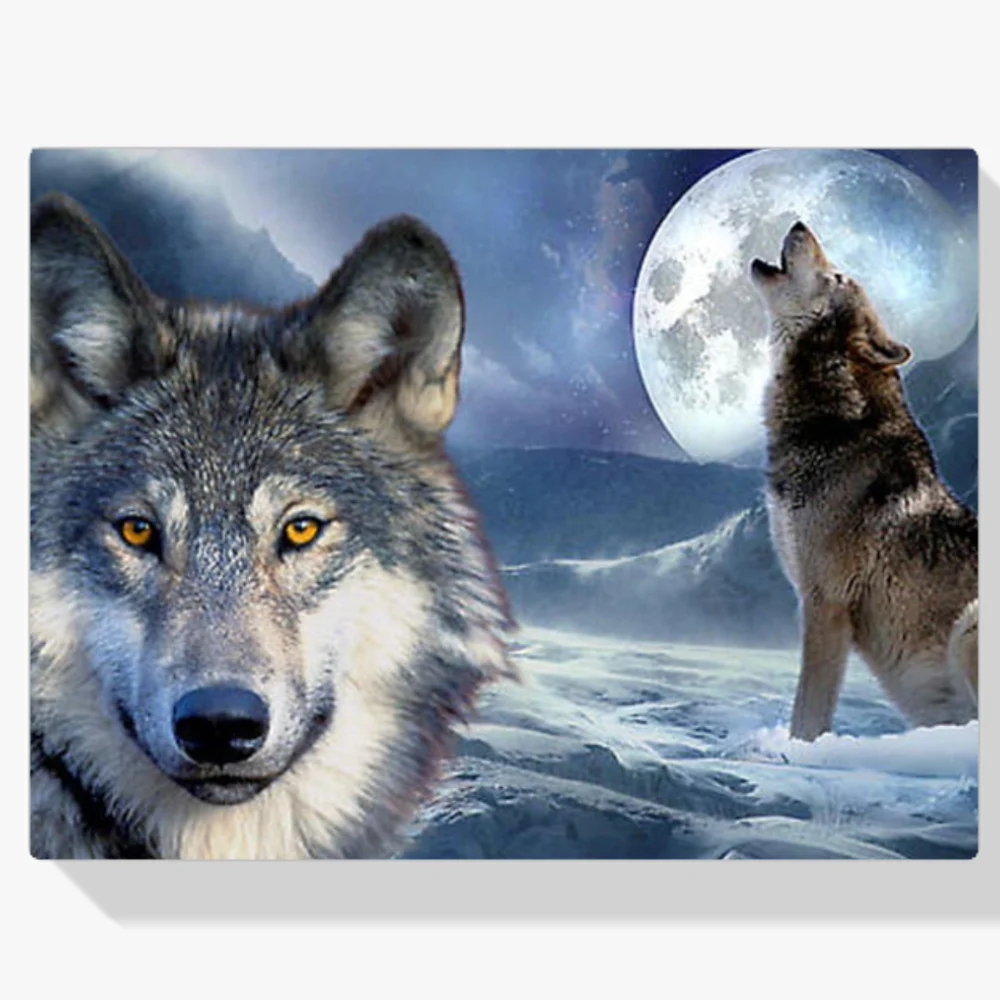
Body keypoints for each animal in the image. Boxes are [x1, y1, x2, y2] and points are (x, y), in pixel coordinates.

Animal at [751, 222, 978, 741]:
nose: (798, 223)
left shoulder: (825, 604)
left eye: (837, 277)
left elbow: (808, 715)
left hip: (970, 626)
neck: (834, 427)